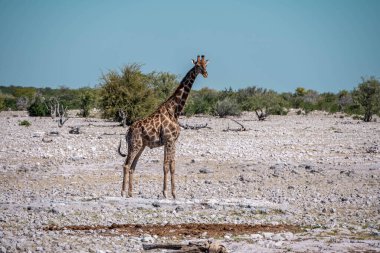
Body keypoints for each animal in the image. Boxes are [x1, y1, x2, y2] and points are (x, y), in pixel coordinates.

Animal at [118, 54, 209, 199]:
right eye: (197, 65)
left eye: (206, 64)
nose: (205, 73)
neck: (174, 111)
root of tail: (128, 131)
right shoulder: (169, 139)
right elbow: (166, 165)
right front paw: (166, 193)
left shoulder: (171, 141)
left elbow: (172, 165)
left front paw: (174, 193)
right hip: (135, 144)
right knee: (126, 165)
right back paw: (122, 193)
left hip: (141, 146)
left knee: (132, 166)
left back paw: (130, 193)